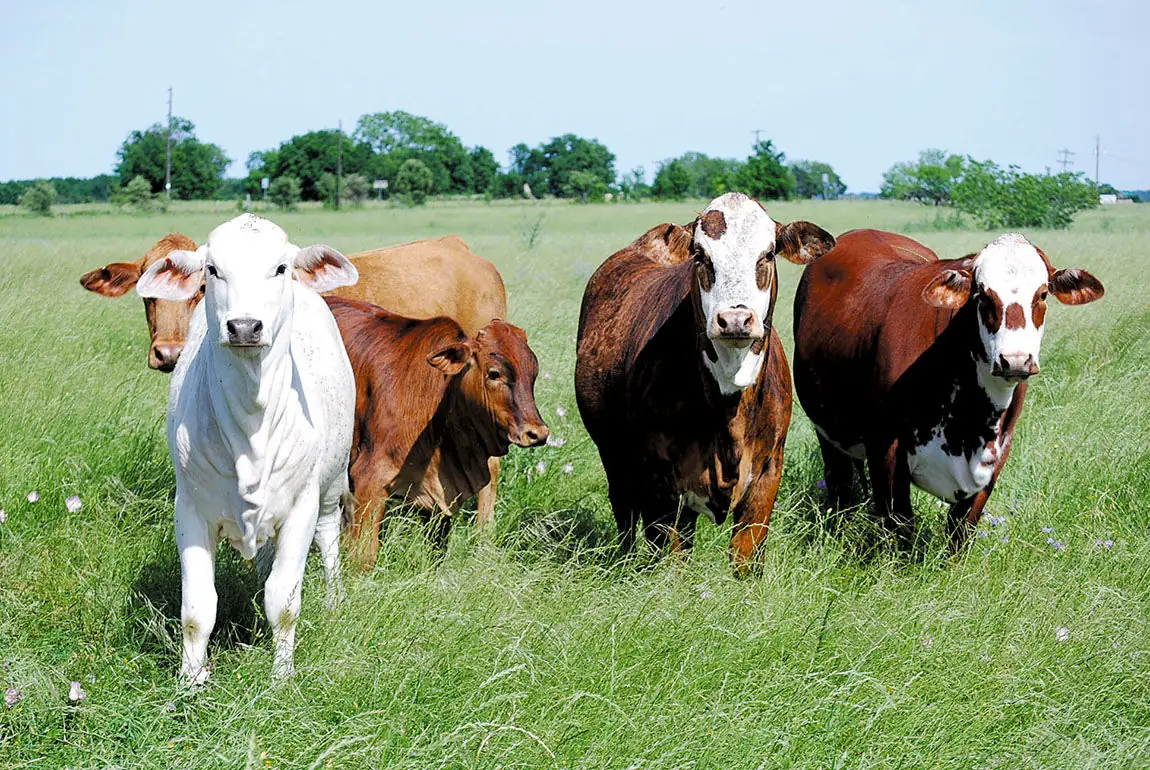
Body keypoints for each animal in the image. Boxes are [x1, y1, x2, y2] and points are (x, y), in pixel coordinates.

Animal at [135, 214, 359, 683]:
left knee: (329, 538)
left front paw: (282, 676)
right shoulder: (190, 508)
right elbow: (197, 609)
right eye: (212, 270)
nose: (244, 327)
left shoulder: (301, 507)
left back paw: (334, 598)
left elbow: (285, 602)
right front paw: (189, 680)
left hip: (332, 484)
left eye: (280, 268)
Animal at [324, 296, 548, 569]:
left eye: (533, 374)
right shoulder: (369, 480)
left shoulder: (442, 497)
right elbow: (364, 556)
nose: (537, 433)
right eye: (494, 373)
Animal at [575, 192, 835, 571]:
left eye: (768, 254)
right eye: (700, 255)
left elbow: (745, 556)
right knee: (624, 512)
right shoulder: (662, 485)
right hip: (614, 455)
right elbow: (671, 561)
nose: (735, 320)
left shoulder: (768, 472)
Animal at [792, 229, 1105, 551]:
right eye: (982, 295)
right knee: (839, 483)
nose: (1015, 360)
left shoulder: (997, 452)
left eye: (1042, 294)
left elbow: (962, 530)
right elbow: (900, 526)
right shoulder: (884, 446)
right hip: (827, 430)